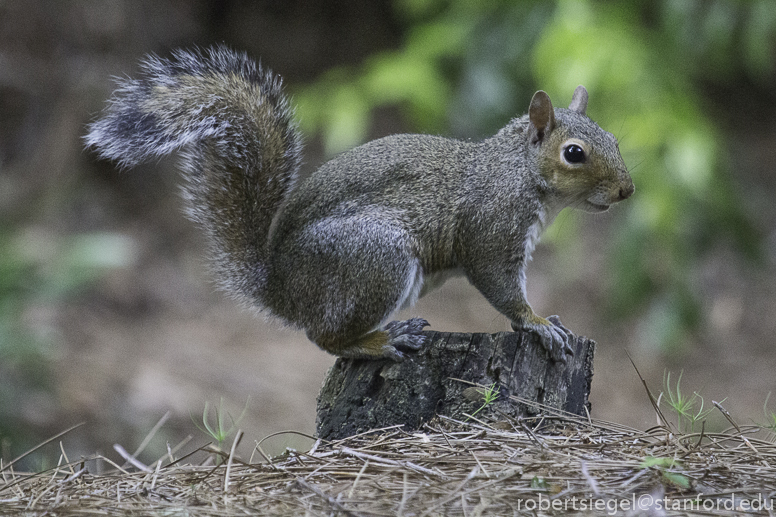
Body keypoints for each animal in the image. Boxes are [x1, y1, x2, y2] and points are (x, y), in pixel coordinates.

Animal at [86, 46, 634, 363]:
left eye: (613, 138)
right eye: (574, 153)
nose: (627, 190)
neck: (518, 172)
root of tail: (281, 288)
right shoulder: (492, 228)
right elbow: (499, 284)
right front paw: (538, 322)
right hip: (376, 258)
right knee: (326, 339)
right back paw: (383, 342)